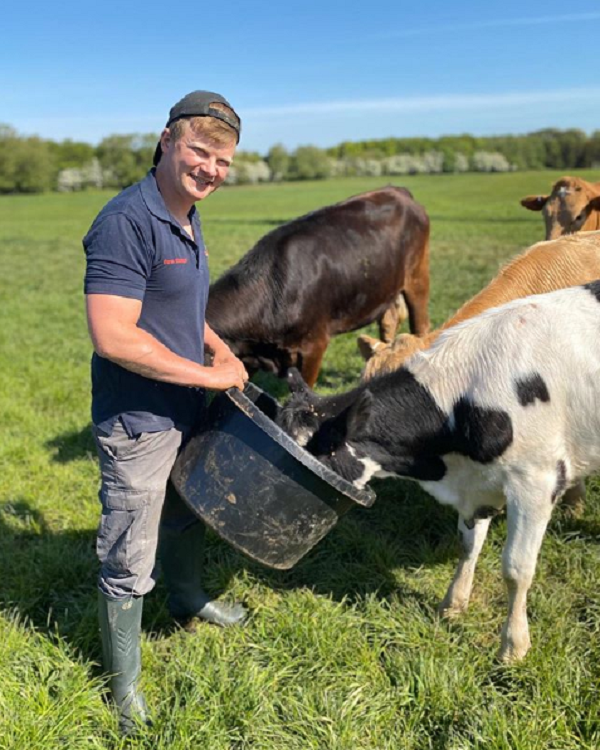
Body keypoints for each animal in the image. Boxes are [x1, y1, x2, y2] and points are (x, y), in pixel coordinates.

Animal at [206, 187, 432, 388]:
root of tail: (397, 191)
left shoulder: (314, 346)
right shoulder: (246, 359)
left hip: (417, 277)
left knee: (421, 326)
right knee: (388, 321)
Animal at [278, 284, 600, 664]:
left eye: (318, 451)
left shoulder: (536, 481)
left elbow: (516, 568)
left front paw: (513, 645)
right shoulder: (478, 486)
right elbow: (468, 545)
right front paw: (453, 604)